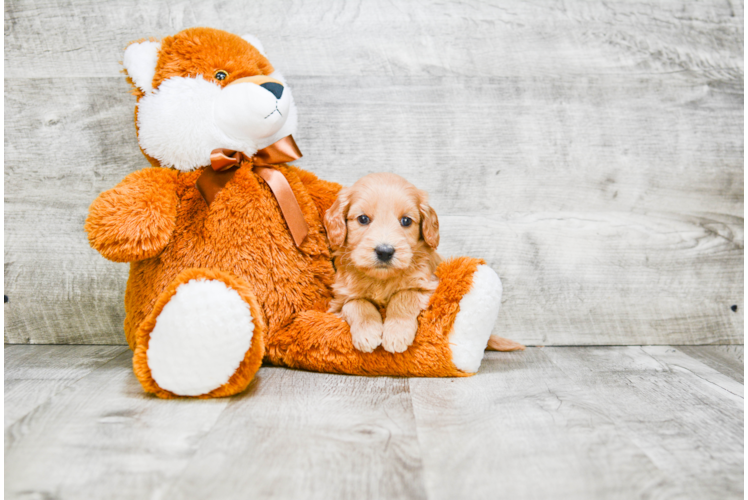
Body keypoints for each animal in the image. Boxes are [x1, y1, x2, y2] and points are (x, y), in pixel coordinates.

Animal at [324, 174, 442, 354]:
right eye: (363, 219)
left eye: (406, 221)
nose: (385, 252)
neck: (381, 279)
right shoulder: (340, 300)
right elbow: (356, 303)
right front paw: (367, 333)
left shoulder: (429, 285)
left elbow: (403, 296)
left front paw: (396, 334)